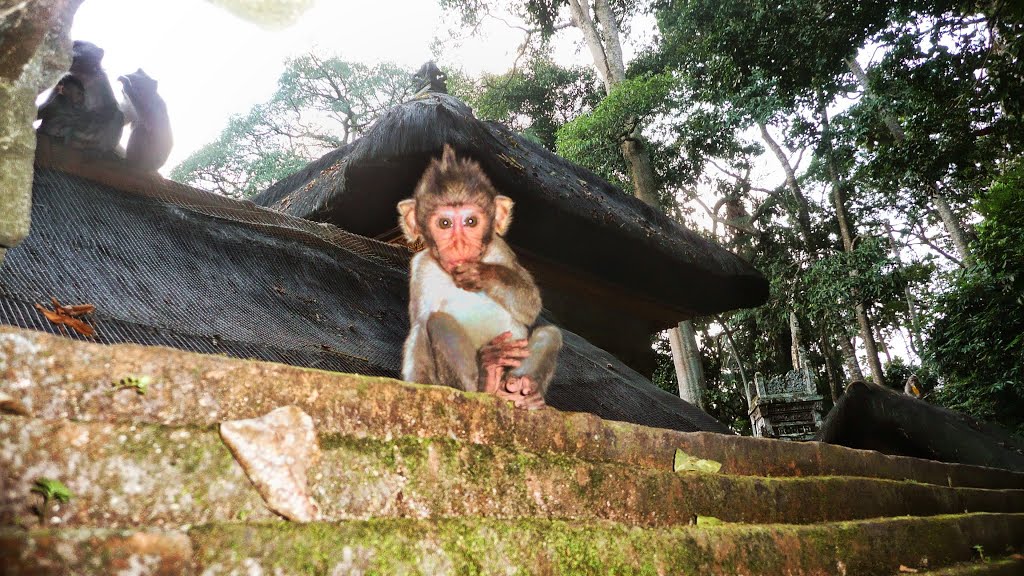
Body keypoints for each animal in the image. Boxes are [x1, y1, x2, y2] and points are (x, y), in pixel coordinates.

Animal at [397, 144, 561, 407]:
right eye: (444, 223)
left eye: (471, 221)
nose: (460, 245)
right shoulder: (421, 268)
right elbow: (420, 327)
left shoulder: (500, 249)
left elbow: (530, 306)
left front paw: (483, 273)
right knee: (438, 321)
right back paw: (486, 379)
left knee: (550, 333)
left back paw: (523, 393)